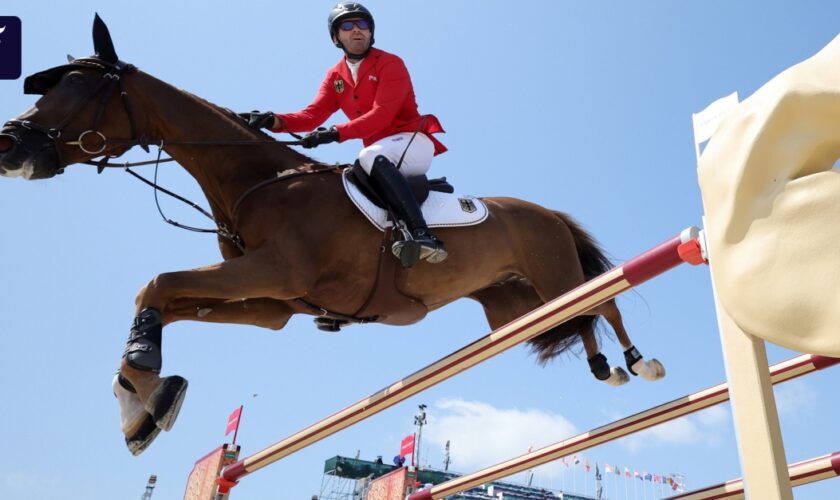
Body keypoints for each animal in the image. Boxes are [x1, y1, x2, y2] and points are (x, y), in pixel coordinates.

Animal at [0, 15, 664, 456]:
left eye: (80, 88)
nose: (10, 146)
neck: (259, 181)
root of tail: (548, 212)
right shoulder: (272, 302)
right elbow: (164, 297)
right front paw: (141, 400)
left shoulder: (274, 274)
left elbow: (157, 283)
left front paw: (141, 382)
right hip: (514, 307)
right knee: (579, 317)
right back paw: (604, 365)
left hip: (554, 272)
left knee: (604, 299)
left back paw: (637, 361)